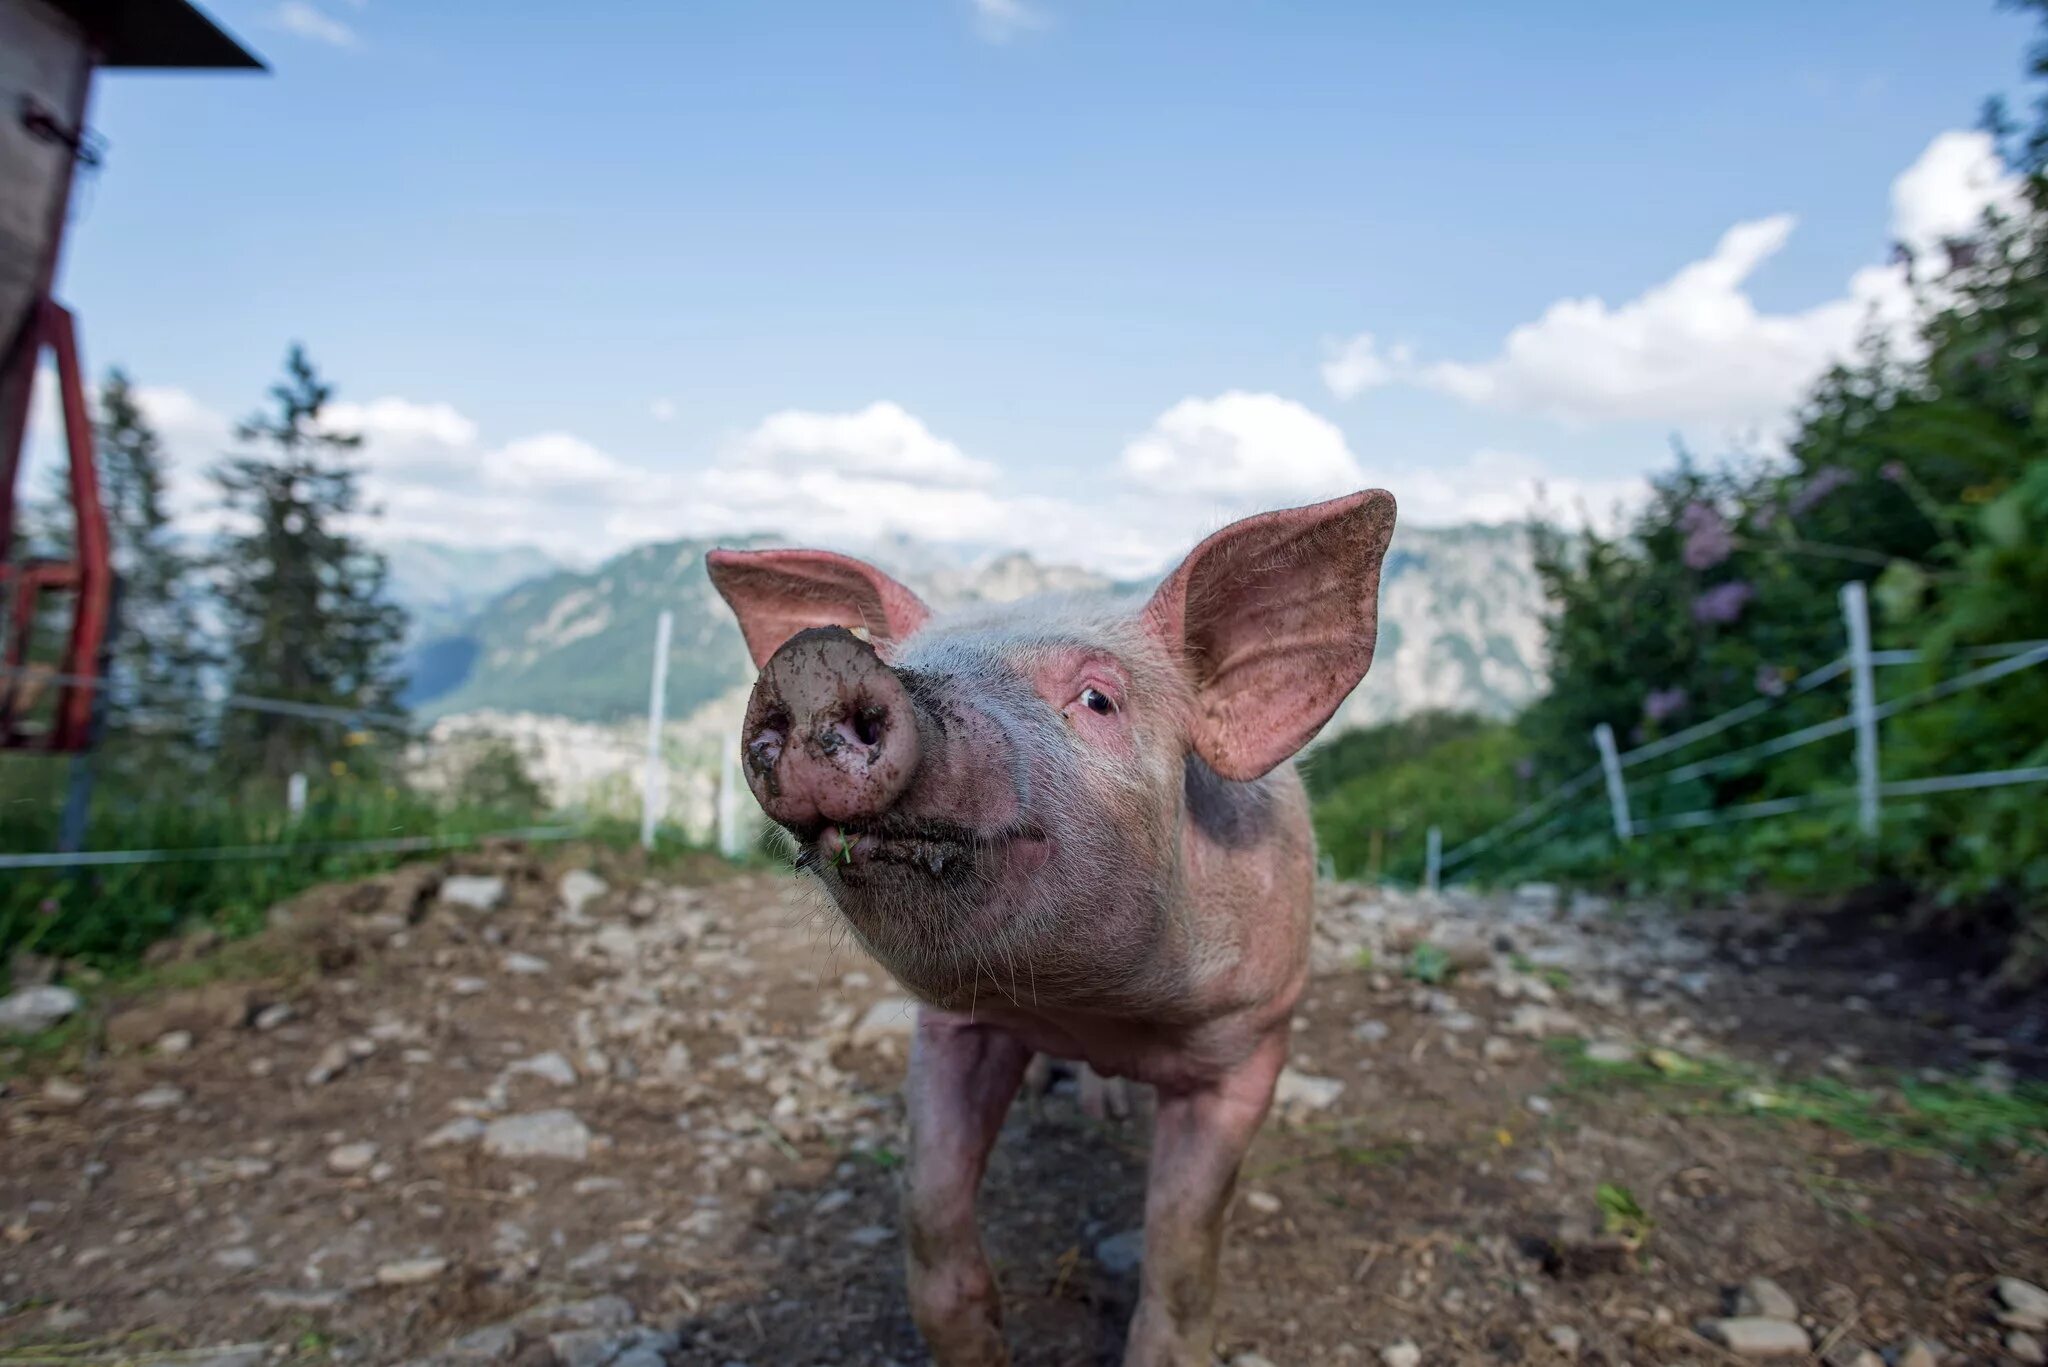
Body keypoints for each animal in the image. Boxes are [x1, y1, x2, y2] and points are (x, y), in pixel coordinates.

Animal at [704, 491, 1392, 1367]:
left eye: (1098, 699)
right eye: (910, 656)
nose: (816, 659)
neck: (1092, 1009)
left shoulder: (1253, 1035)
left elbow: (1184, 1246)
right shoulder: (954, 1025)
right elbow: (929, 1206)